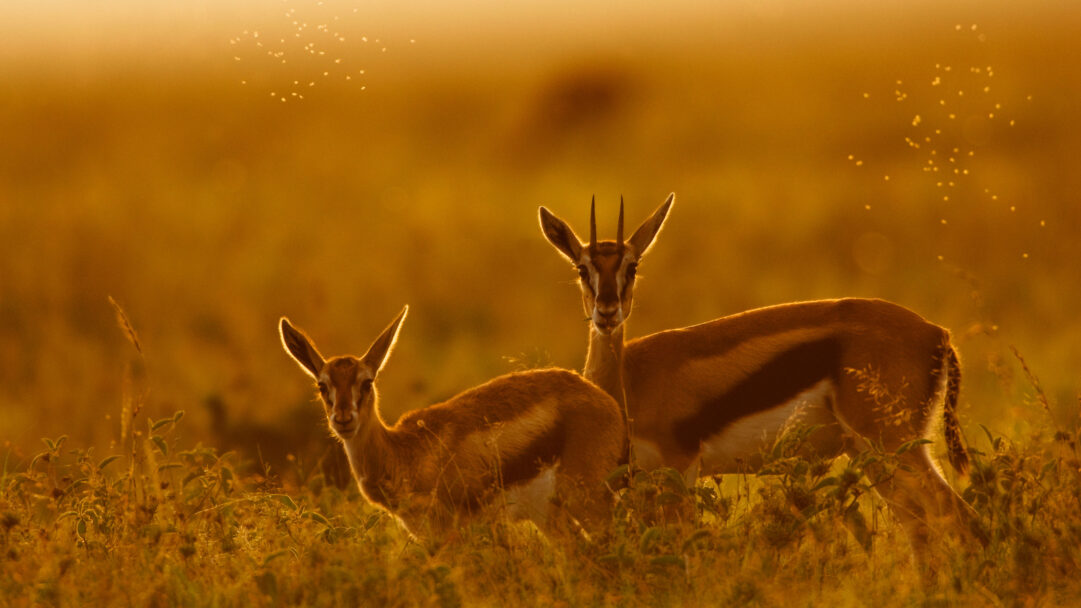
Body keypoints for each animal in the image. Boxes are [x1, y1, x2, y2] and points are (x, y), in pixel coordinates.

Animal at [279, 306, 624, 544]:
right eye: (322, 386)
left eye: (366, 382)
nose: (343, 419)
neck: (404, 453)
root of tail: (602, 398)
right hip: (551, 516)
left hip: (587, 502)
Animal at [537, 193, 984, 574]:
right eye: (582, 268)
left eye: (632, 267)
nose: (607, 312)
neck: (628, 382)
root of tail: (938, 333)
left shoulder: (679, 469)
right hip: (875, 456)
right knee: (922, 529)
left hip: (892, 447)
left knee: (959, 516)